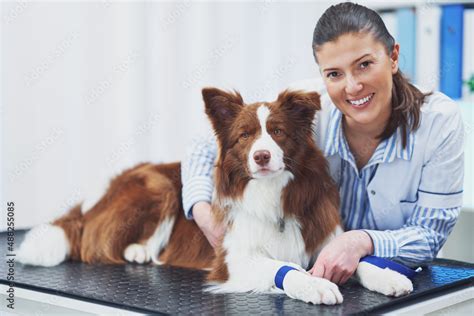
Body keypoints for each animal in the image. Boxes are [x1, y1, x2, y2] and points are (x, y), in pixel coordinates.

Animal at [16, 87, 412, 304]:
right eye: (245, 135)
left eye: (278, 132)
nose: (261, 156)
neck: (271, 194)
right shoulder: (232, 261)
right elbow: (282, 267)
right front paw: (314, 285)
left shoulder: (324, 239)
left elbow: (357, 260)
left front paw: (389, 277)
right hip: (159, 185)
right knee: (96, 244)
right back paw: (139, 251)